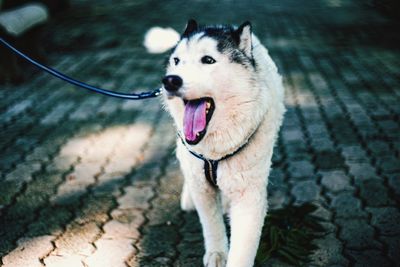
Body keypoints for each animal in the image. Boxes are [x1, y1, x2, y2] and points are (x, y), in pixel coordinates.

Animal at [148, 19, 286, 266]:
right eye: (177, 61)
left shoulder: (249, 198)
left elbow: (242, 250)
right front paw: (217, 253)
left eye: (208, 60)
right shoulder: (203, 188)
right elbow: (211, 225)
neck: (215, 152)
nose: (170, 81)